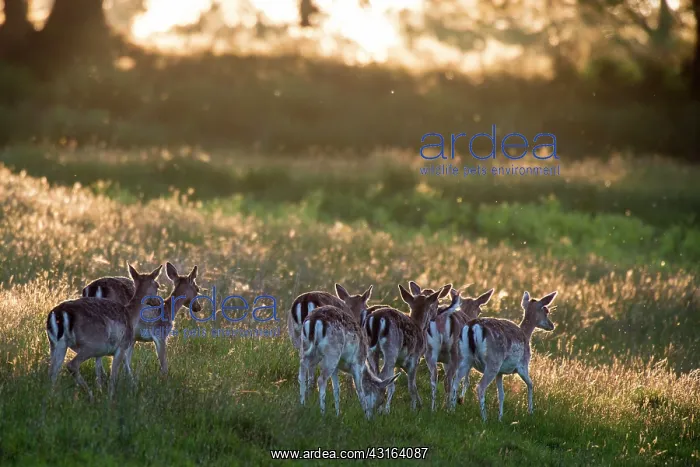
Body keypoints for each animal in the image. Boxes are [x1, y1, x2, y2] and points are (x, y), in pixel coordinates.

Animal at [46, 263, 162, 400]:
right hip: (90, 345)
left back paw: (52, 396)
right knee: (71, 365)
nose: (158, 302)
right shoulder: (121, 347)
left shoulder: (105, 352)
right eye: (157, 285)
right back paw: (90, 395)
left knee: (52, 372)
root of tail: (59, 314)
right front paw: (111, 398)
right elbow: (114, 375)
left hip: (56, 344)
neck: (130, 315)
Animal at [364, 283, 449, 413]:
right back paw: (383, 409)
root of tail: (376, 320)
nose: (437, 315)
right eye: (437, 303)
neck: (419, 326)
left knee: (374, 376)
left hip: (371, 351)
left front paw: (419, 405)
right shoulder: (415, 358)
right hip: (391, 348)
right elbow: (411, 386)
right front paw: (413, 409)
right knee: (383, 377)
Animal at [446, 291, 558, 421]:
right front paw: (530, 412)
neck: (526, 334)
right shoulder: (523, 365)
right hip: (493, 362)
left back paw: (452, 411)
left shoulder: (500, 372)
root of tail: (472, 327)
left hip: (465, 358)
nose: (551, 325)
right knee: (480, 387)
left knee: (455, 383)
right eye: (546, 310)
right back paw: (484, 419)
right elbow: (530, 384)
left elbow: (501, 394)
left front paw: (500, 418)